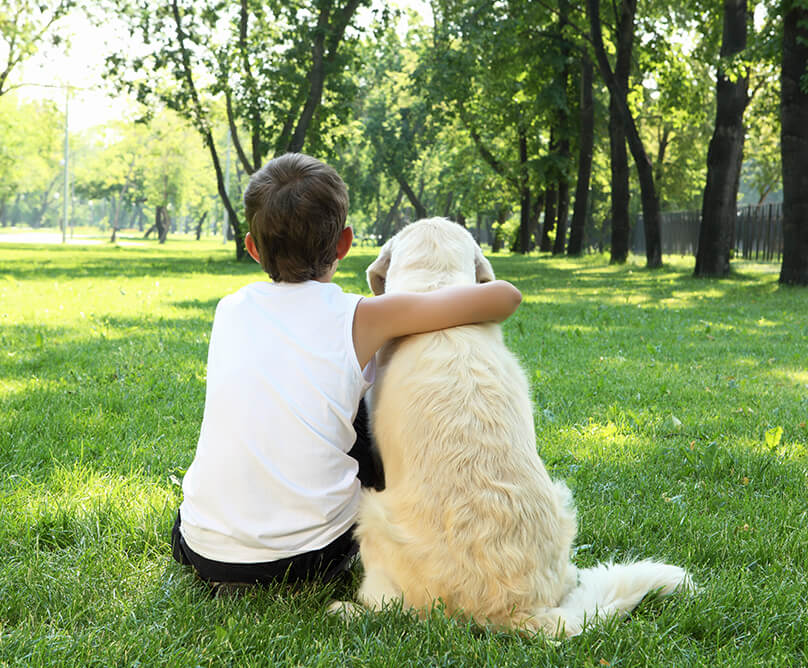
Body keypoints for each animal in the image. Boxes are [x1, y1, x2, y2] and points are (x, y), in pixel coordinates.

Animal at [330, 218, 696, 636]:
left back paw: (346, 609)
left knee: (390, 609)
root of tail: (520, 609)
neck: (437, 287)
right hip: (563, 505)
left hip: (372, 514)